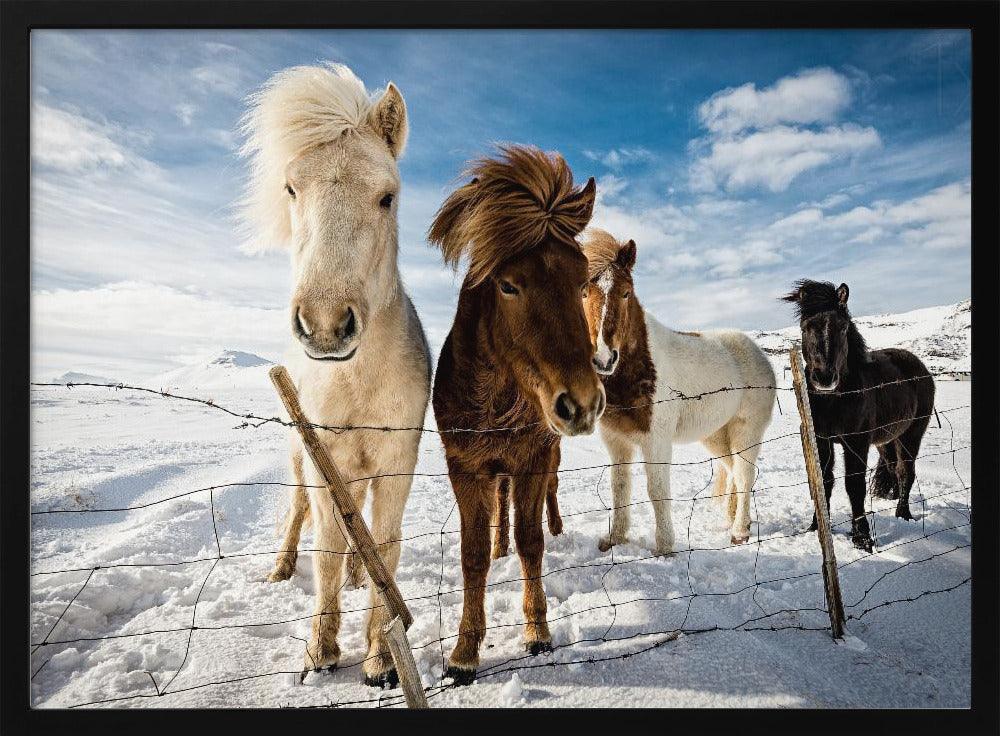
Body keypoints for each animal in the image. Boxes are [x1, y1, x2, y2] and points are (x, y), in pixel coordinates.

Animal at [242, 64, 434, 688]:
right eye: (291, 188)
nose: (325, 326)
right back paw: (282, 570)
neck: (357, 382)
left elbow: (386, 545)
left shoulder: (397, 461)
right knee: (300, 513)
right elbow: (324, 547)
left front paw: (380, 658)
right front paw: (320, 652)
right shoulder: (325, 457)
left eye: (387, 196)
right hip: (301, 459)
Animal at [428, 144, 600, 684]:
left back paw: (556, 528)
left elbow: (531, 541)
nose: (581, 402)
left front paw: (537, 632)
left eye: (583, 281)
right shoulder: (465, 468)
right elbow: (473, 555)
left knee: (549, 500)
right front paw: (464, 652)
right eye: (507, 286)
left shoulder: (532, 461)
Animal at [580, 230, 772, 552]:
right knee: (732, 470)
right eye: (583, 293)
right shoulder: (616, 440)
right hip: (716, 435)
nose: (604, 358)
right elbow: (620, 487)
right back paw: (733, 520)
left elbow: (657, 490)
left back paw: (739, 532)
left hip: (747, 431)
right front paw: (614, 539)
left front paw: (665, 547)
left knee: (745, 475)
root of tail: (758, 353)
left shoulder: (656, 441)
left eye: (626, 293)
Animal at [780, 282, 936, 552]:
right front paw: (816, 527)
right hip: (886, 440)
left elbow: (854, 486)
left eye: (843, 328)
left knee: (905, 471)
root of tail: (920, 368)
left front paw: (862, 538)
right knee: (893, 469)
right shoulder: (821, 441)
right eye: (805, 327)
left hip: (911, 435)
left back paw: (903, 514)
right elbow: (824, 482)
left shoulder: (856, 442)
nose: (824, 378)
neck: (834, 400)